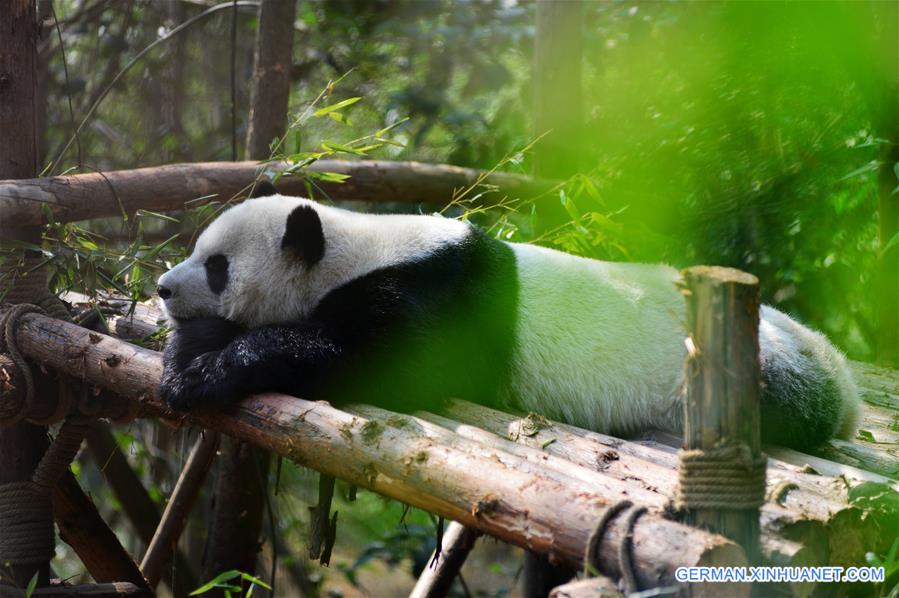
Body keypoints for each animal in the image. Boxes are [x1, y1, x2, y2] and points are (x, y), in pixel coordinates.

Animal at [158, 188, 860, 450]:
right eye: (196, 252)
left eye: (217, 266)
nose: (163, 286)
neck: (351, 250)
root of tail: (847, 389)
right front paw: (185, 355)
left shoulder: (434, 297)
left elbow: (376, 362)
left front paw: (209, 373)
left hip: (746, 373)